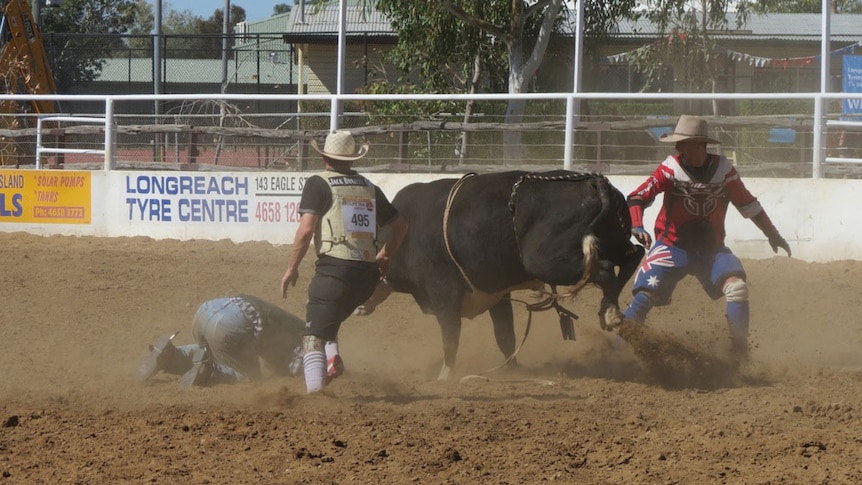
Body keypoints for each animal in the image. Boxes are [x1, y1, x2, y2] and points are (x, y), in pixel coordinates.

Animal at [362, 170, 644, 378]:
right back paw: (611, 311)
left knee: (606, 270)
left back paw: (610, 312)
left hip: (548, 261)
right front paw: (512, 370)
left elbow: (451, 339)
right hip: (612, 240)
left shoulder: (445, 298)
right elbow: (505, 335)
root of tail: (594, 183)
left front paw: (444, 376)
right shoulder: (497, 296)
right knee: (634, 256)